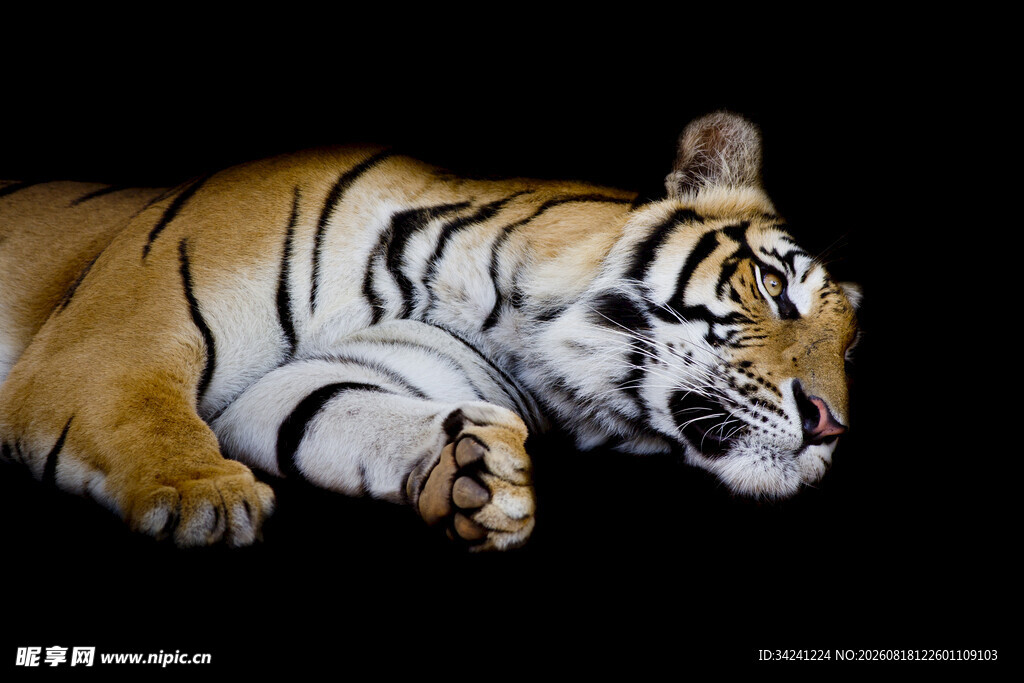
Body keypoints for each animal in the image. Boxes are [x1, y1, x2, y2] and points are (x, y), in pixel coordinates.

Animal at [0, 112, 860, 551]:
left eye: (850, 346)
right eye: (775, 286)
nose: (831, 426)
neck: (509, 320)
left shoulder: (315, 381)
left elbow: (332, 408)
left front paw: (476, 477)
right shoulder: (116, 340)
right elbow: (143, 407)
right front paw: (201, 496)